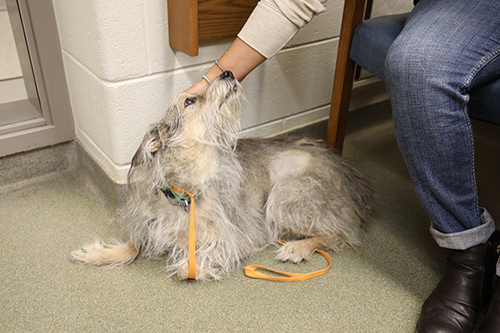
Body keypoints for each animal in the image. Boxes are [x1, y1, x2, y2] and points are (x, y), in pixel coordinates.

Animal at [72, 70, 374, 280]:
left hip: (284, 198)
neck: (186, 191)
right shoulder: (151, 222)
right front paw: (98, 254)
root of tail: (351, 175)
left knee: (341, 232)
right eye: (190, 99)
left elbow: (187, 267)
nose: (227, 71)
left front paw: (202, 268)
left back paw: (297, 248)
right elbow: (133, 245)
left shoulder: (236, 235)